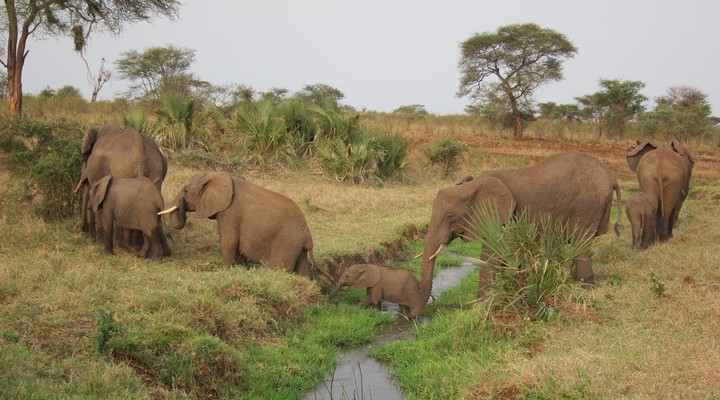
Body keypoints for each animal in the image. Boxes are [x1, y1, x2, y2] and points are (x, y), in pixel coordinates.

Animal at [159, 172, 334, 282]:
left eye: (185, 190)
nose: (181, 202)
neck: (218, 175)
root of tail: (308, 237)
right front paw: (240, 269)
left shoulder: (229, 212)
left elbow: (229, 241)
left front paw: (226, 270)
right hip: (296, 246)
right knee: (303, 270)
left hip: (287, 243)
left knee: (279, 269)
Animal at [416, 151, 624, 316]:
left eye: (449, 216)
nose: (412, 314)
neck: (472, 186)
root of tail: (610, 175)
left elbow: (492, 255)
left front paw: (480, 305)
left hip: (587, 204)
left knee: (581, 243)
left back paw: (584, 289)